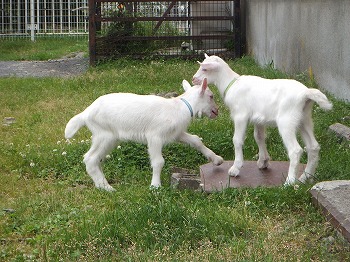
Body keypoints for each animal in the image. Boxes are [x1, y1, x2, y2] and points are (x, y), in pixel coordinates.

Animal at [65, 79, 223, 191]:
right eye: (211, 96)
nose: (216, 111)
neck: (180, 107)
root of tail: (86, 113)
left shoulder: (176, 134)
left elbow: (196, 140)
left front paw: (217, 159)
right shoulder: (155, 136)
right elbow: (158, 161)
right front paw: (155, 186)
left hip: (110, 138)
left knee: (98, 159)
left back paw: (101, 184)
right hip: (104, 134)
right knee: (90, 158)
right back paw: (107, 188)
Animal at [193, 53, 332, 184]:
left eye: (204, 69)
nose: (194, 79)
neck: (231, 83)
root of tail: (305, 94)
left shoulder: (240, 115)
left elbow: (237, 140)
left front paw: (235, 168)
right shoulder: (259, 119)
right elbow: (259, 137)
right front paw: (263, 161)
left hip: (287, 121)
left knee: (295, 150)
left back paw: (290, 182)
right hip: (304, 119)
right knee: (313, 147)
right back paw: (305, 178)